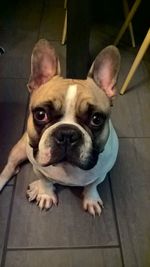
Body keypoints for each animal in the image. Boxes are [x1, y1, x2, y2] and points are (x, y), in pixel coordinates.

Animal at [0, 39, 119, 218]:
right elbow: (46, 181)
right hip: (18, 150)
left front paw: (91, 200)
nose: (67, 134)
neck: (67, 167)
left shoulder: (101, 174)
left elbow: (92, 186)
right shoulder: (38, 168)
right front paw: (45, 194)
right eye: (40, 114)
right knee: (9, 167)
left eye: (96, 119)